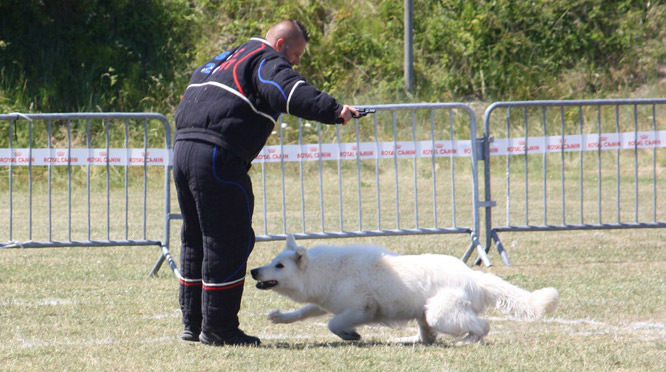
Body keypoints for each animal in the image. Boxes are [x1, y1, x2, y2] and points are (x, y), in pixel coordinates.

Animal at [249, 234, 556, 344]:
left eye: (279, 266)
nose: (253, 271)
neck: (323, 270)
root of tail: (474, 277)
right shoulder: (326, 302)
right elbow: (304, 312)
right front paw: (280, 317)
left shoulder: (363, 308)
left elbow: (333, 324)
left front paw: (351, 334)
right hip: (425, 317)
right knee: (427, 338)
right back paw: (407, 340)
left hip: (439, 314)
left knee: (482, 326)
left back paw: (469, 340)